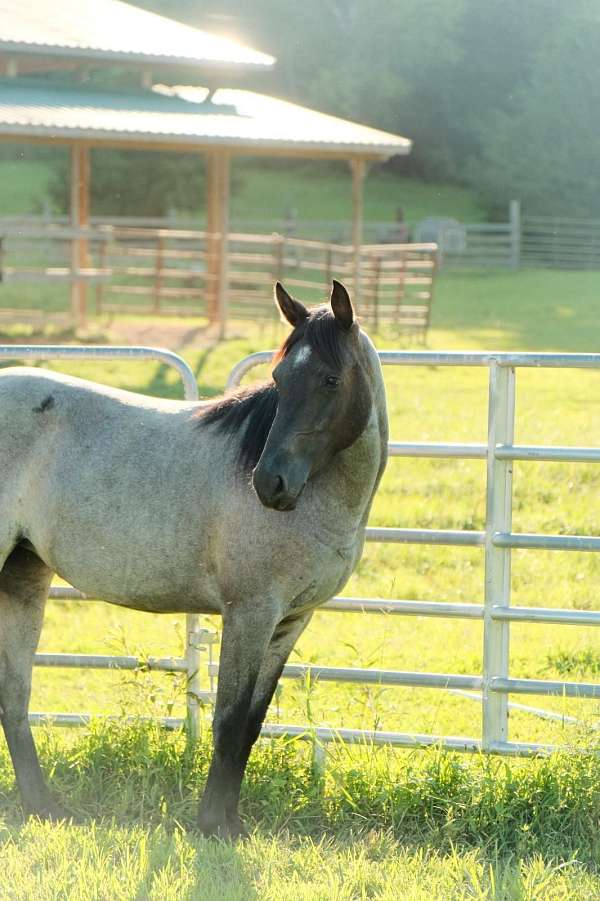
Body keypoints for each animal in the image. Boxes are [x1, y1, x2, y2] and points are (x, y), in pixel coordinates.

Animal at [0, 279, 388, 838]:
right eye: (278, 378)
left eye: (330, 380)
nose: (269, 483)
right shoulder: (249, 613)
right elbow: (228, 720)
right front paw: (213, 827)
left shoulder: (291, 621)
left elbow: (250, 724)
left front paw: (230, 820)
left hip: (24, 576)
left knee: (14, 697)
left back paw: (42, 807)